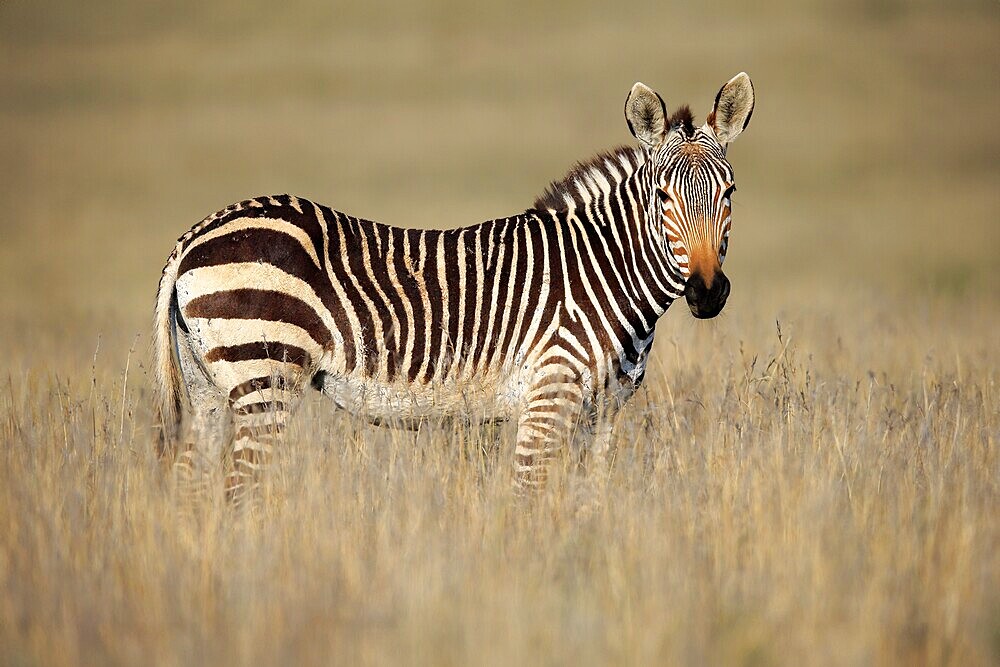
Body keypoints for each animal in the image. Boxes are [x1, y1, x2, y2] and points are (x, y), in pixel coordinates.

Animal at [154, 73, 752, 504]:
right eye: (663, 196)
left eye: (729, 192)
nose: (706, 292)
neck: (603, 268)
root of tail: (195, 233)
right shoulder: (548, 395)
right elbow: (528, 499)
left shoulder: (602, 413)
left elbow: (588, 501)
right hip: (264, 378)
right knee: (239, 493)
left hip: (209, 390)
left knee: (190, 484)